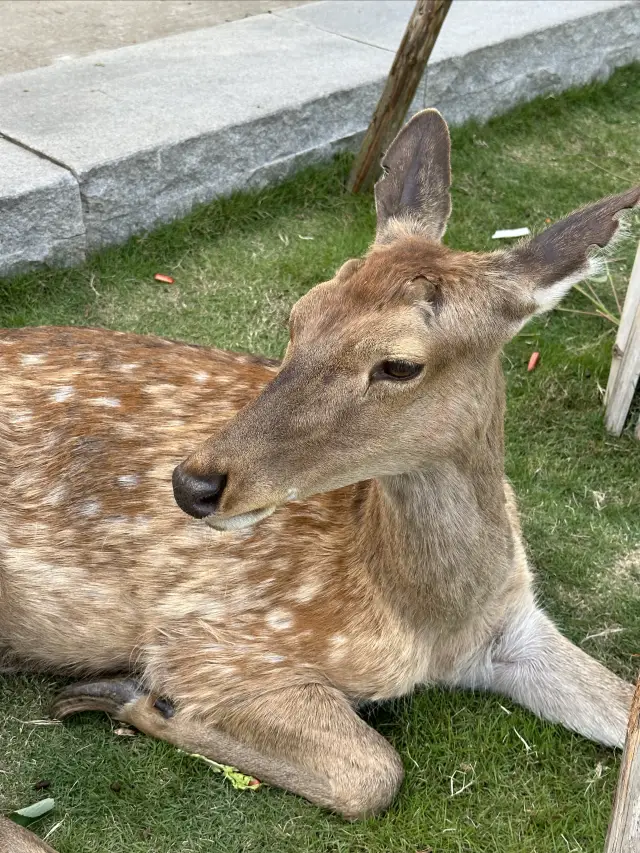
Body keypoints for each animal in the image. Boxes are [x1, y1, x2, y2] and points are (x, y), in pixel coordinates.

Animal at [1, 111, 640, 852]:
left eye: (399, 364)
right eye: (299, 315)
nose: (192, 484)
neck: (428, 621)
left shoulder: (515, 626)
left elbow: (625, 700)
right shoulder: (217, 642)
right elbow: (374, 771)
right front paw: (146, 699)